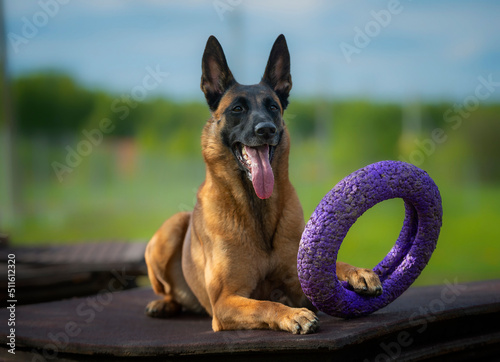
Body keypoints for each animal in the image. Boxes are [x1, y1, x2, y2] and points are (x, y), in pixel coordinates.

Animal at [145, 34, 382, 334]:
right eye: (237, 109)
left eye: (272, 107)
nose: (266, 129)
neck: (257, 212)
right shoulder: (225, 301)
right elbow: (265, 304)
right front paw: (294, 315)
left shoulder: (297, 282)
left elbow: (330, 267)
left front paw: (357, 272)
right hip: (171, 230)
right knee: (167, 291)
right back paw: (162, 304)